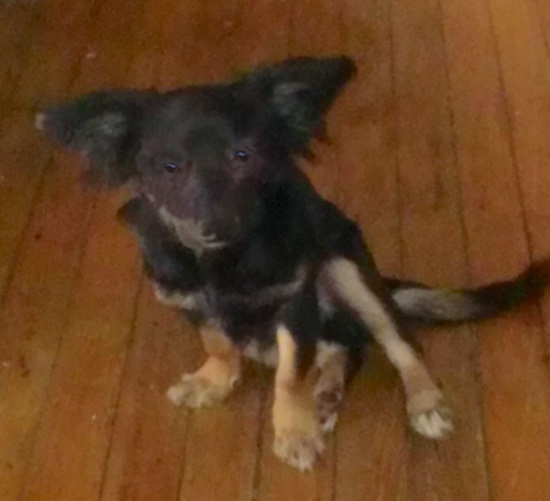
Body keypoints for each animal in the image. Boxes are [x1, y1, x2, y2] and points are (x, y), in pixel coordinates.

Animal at [35, 56, 548, 470]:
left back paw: (422, 401)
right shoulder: (192, 303)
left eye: (243, 156)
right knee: (347, 348)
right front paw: (214, 382)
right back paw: (327, 392)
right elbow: (218, 344)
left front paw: (294, 432)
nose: (213, 225)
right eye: (168, 168)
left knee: (398, 341)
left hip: (347, 267)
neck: (221, 263)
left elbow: (289, 375)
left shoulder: (294, 305)